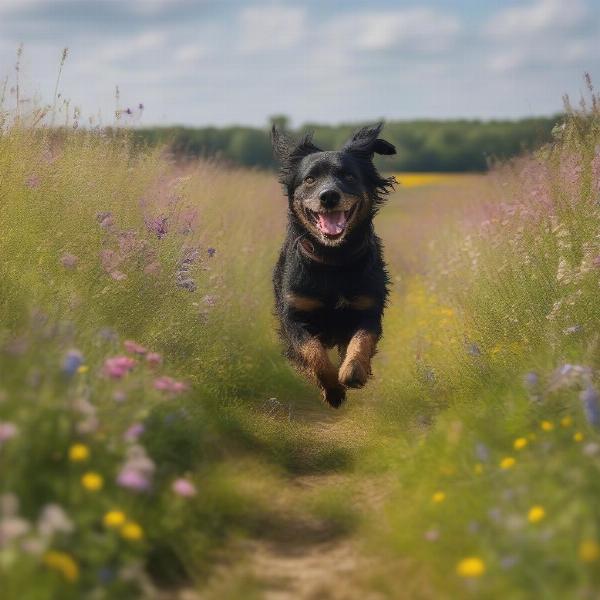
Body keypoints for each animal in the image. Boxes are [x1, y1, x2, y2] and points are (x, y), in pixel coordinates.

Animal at [270, 122, 394, 408]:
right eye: (310, 179)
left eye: (348, 176)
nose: (328, 196)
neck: (333, 260)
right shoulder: (294, 315)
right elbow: (312, 352)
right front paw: (333, 388)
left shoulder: (368, 308)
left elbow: (362, 340)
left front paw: (353, 371)